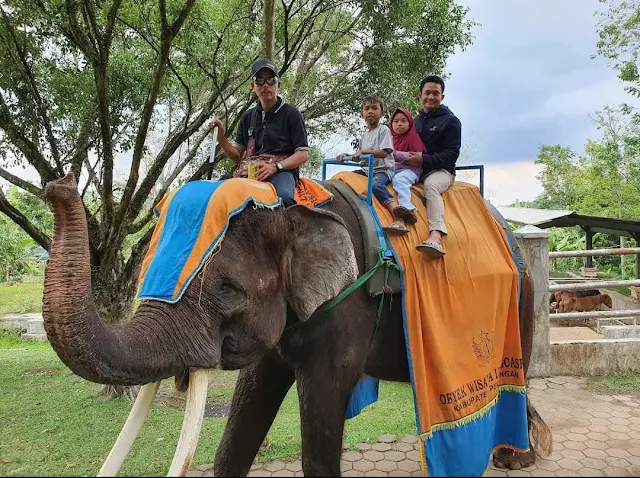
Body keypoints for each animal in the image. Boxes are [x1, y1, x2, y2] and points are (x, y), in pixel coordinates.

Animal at [41, 174, 552, 476]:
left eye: (228, 291)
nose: (57, 185)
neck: (294, 211)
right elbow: (250, 401)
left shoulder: (348, 307)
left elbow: (321, 409)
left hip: (521, 297)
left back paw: (514, 458)